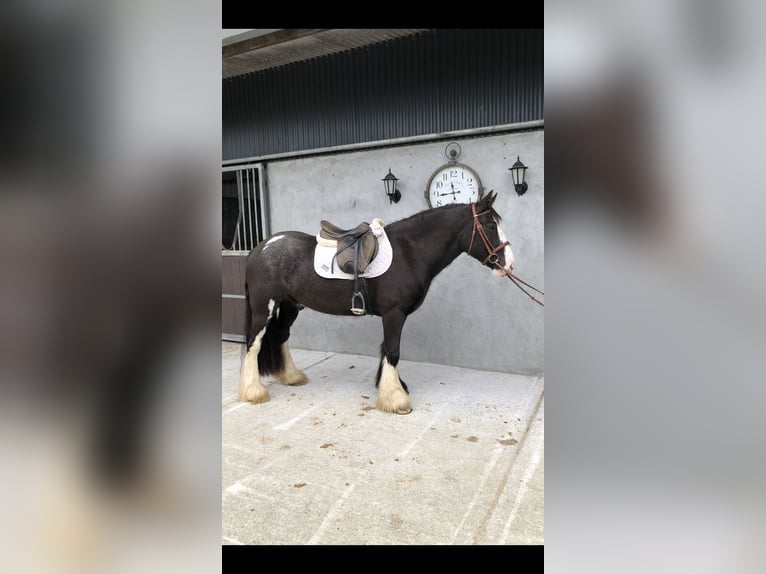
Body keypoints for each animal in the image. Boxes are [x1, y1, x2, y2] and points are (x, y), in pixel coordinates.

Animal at [240, 192, 516, 414]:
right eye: (490, 225)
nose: (509, 264)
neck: (409, 251)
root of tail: (260, 247)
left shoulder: (392, 315)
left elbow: (386, 350)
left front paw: (392, 387)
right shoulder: (394, 313)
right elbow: (393, 351)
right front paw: (396, 400)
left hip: (289, 305)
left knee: (281, 335)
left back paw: (292, 376)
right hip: (264, 308)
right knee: (254, 343)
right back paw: (254, 391)